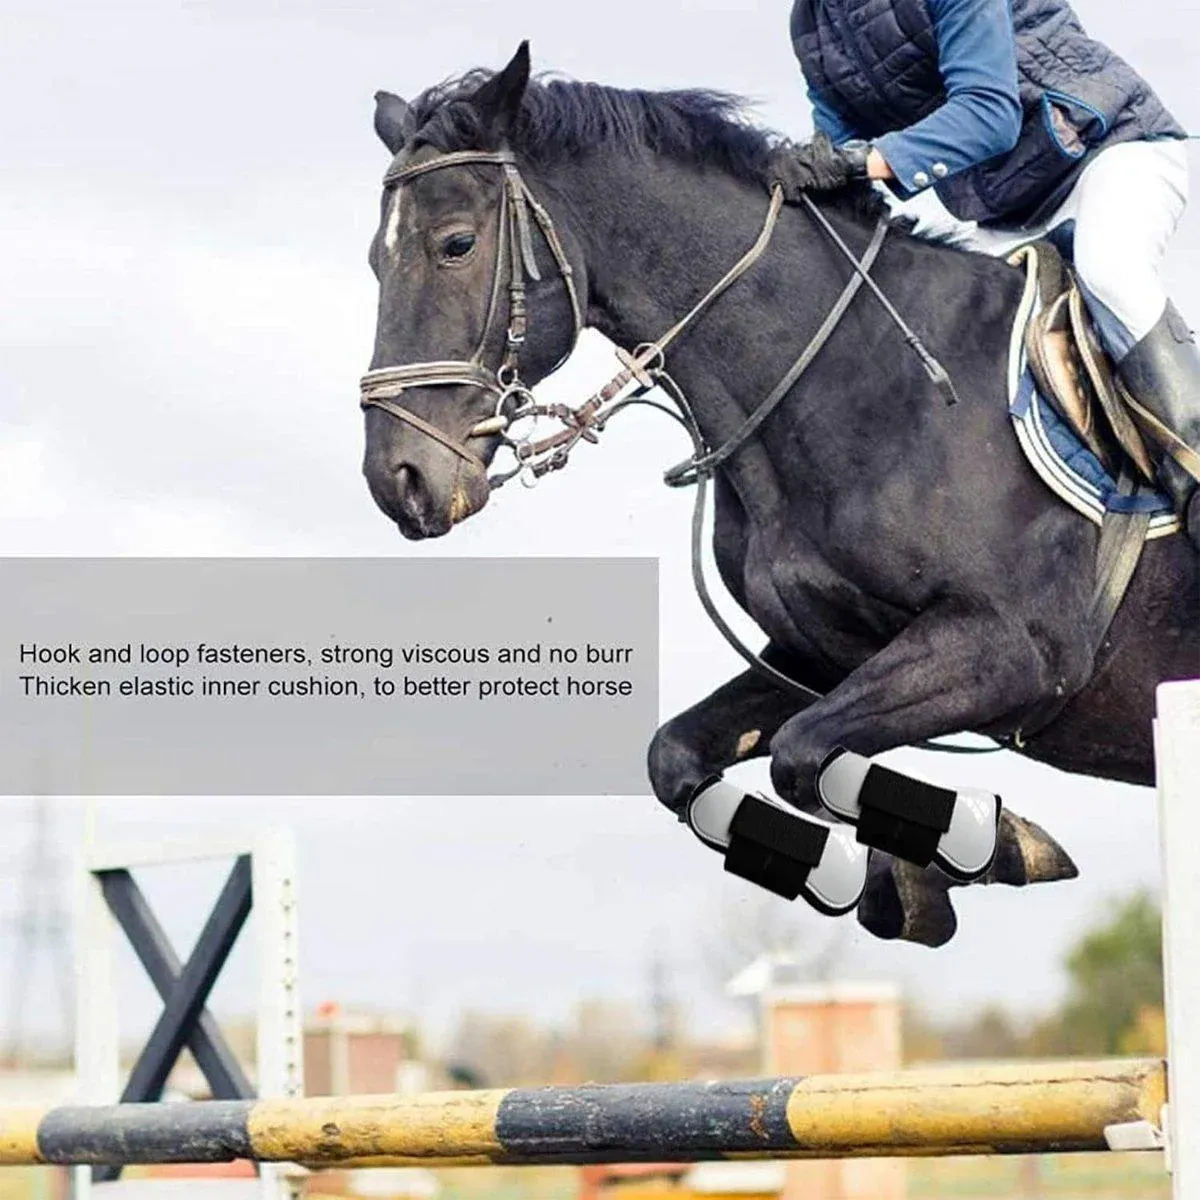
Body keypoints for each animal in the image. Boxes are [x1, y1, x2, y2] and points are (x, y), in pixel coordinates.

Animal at [357, 44, 1199, 946]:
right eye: (376, 260)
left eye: (455, 244)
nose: (400, 481)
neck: (854, 378)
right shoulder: (819, 656)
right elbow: (689, 756)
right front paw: (908, 871)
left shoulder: (1013, 648)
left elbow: (803, 755)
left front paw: (985, 843)